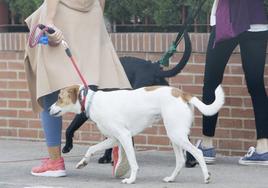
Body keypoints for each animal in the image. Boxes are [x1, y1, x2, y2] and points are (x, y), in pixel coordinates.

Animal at [48, 84, 224, 184]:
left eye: (59, 98)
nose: (49, 109)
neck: (92, 101)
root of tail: (181, 93)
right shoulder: (113, 139)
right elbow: (91, 149)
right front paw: (83, 162)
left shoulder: (124, 136)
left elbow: (133, 162)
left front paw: (131, 179)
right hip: (175, 135)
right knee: (180, 160)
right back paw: (171, 179)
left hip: (177, 135)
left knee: (198, 152)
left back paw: (206, 177)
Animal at [61, 30, 197, 167]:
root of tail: (154, 68)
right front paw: (106, 157)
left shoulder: (84, 111)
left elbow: (69, 128)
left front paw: (67, 147)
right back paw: (191, 160)